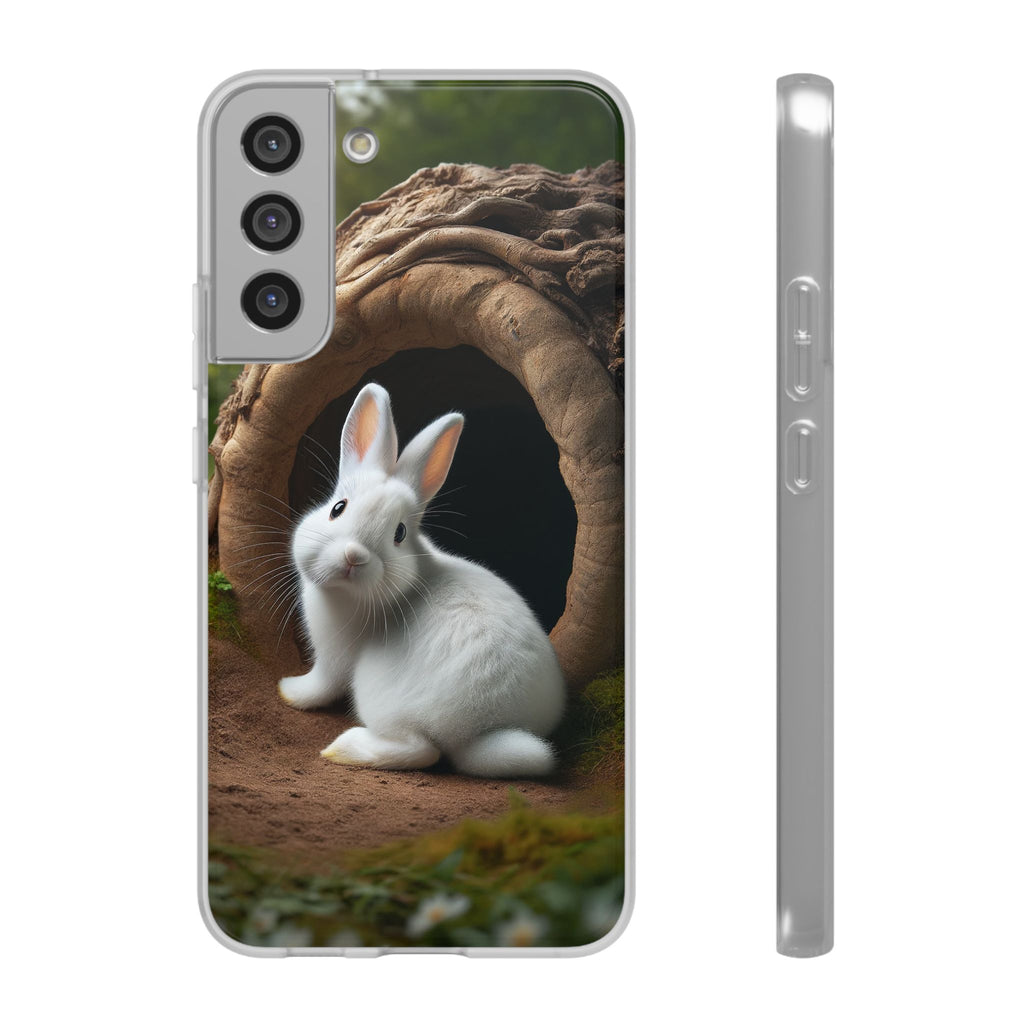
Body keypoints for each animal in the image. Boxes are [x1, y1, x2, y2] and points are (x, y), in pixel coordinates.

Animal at [277, 382, 566, 777]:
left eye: (399, 533)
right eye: (338, 508)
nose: (354, 556)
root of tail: (479, 731)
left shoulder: (333, 657)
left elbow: (321, 685)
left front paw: (288, 690)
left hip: (380, 695)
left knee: (420, 750)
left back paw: (342, 749)